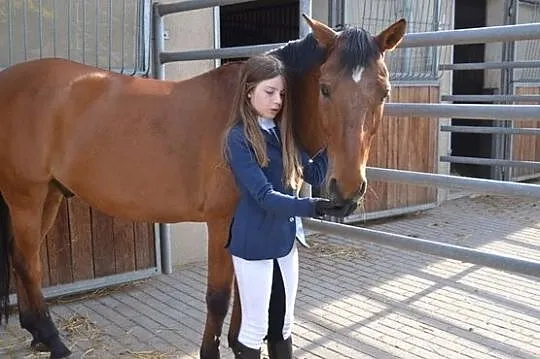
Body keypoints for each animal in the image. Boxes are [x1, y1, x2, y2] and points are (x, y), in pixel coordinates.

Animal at [0, 15, 404, 358]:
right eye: (325, 88)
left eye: (384, 93)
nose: (345, 192)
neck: (244, 116)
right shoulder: (221, 222)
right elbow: (219, 297)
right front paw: (212, 350)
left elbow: (243, 291)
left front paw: (239, 344)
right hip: (26, 196)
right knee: (28, 263)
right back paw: (54, 341)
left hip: (50, 195)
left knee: (22, 259)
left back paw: (37, 333)